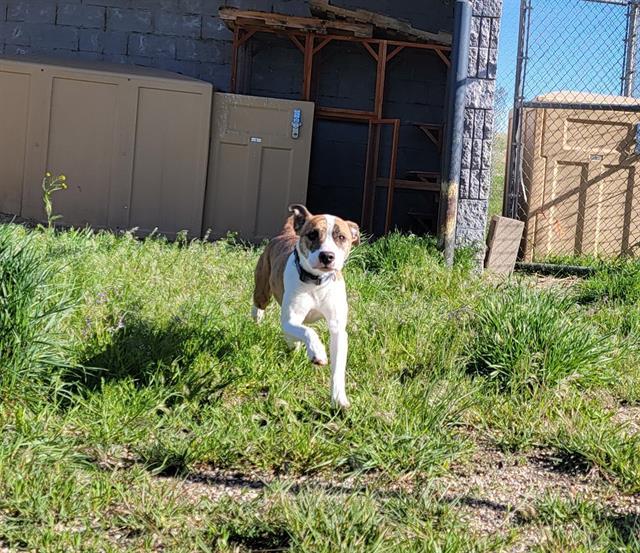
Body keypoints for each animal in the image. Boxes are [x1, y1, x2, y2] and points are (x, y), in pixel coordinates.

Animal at [251, 205, 360, 408]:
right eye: (312, 234)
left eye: (341, 237)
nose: (327, 256)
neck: (316, 282)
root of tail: (285, 234)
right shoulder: (290, 319)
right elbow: (308, 331)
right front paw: (317, 352)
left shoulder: (338, 329)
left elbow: (338, 367)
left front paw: (339, 398)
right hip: (262, 289)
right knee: (258, 304)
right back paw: (258, 320)